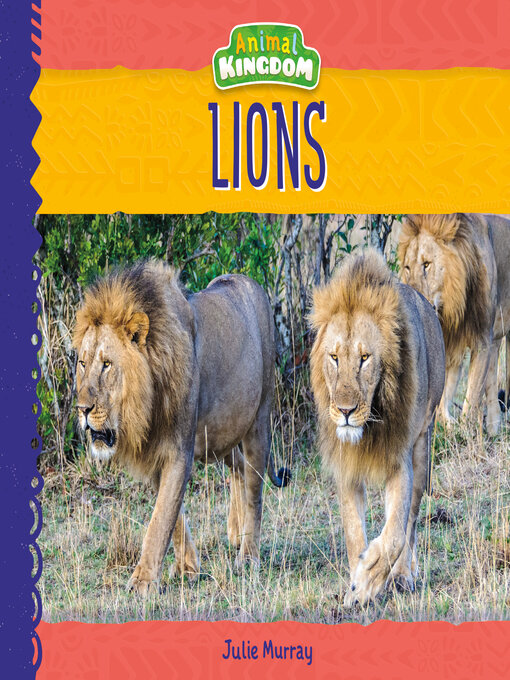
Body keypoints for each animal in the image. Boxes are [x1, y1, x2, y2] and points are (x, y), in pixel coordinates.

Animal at [73, 260, 289, 596]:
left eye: (107, 364)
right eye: (83, 363)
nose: (82, 409)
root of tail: (249, 281)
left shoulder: (178, 450)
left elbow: (161, 518)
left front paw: (143, 582)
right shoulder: (156, 451)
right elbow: (173, 517)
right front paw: (188, 568)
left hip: (259, 418)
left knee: (255, 486)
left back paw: (248, 555)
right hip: (220, 435)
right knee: (239, 467)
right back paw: (235, 532)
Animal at [310, 250, 445, 605]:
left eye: (365, 358)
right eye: (334, 357)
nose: (345, 411)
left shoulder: (399, 461)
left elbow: (395, 533)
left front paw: (369, 580)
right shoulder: (347, 468)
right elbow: (354, 533)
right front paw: (356, 587)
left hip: (423, 445)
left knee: (411, 521)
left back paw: (403, 576)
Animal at [398, 214, 510, 435]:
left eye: (426, 264)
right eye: (407, 268)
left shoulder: (482, 340)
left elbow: (472, 395)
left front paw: (464, 432)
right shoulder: (452, 341)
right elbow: (443, 394)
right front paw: (445, 425)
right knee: (492, 381)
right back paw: (494, 429)